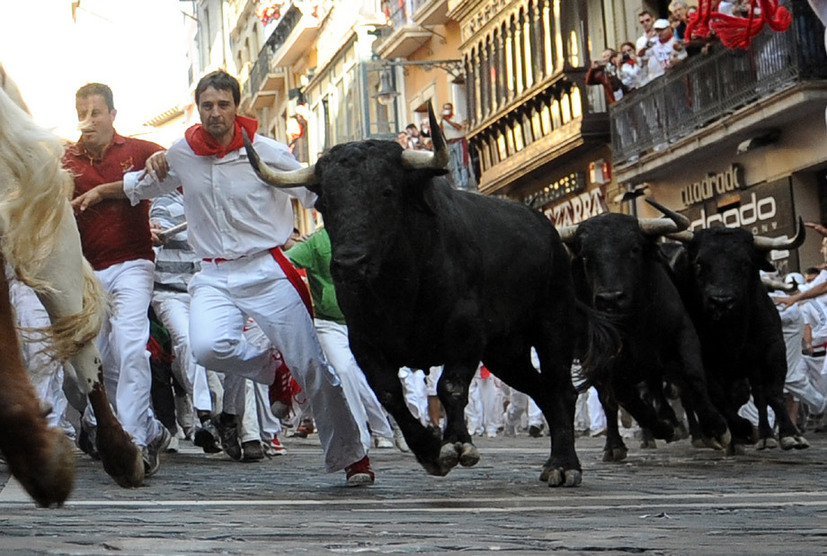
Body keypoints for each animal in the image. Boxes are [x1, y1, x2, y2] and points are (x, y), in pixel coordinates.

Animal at [243, 107, 604, 486]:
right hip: (505, 352)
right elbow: (390, 395)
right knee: (542, 391)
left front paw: (457, 444)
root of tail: (548, 230)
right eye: (325, 200)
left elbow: (450, 387)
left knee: (560, 389)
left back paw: (564, 465)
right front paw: (430, 451)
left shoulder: (466, 332)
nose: (350, 263)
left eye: (387, 192)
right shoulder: (365, 343)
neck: (400, 288)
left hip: (553, 324)